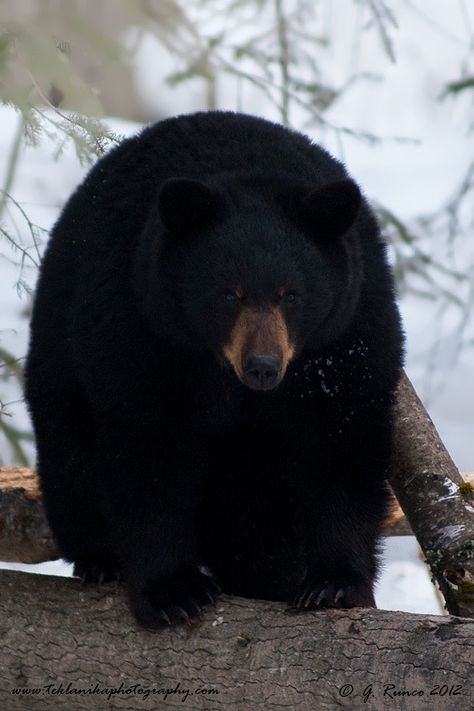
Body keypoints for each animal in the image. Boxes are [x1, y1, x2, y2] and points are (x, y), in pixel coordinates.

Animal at [25, 108, 404, 624]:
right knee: (70, 456)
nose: (262, 366)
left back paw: (266, 573)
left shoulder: (348, 332)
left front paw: (334, 582)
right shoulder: (141, 329)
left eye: (291, 294)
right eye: (229, 294)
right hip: (60, 348)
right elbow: (148, 449)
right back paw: (100, 558)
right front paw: (173, 591)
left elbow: (342, 442)